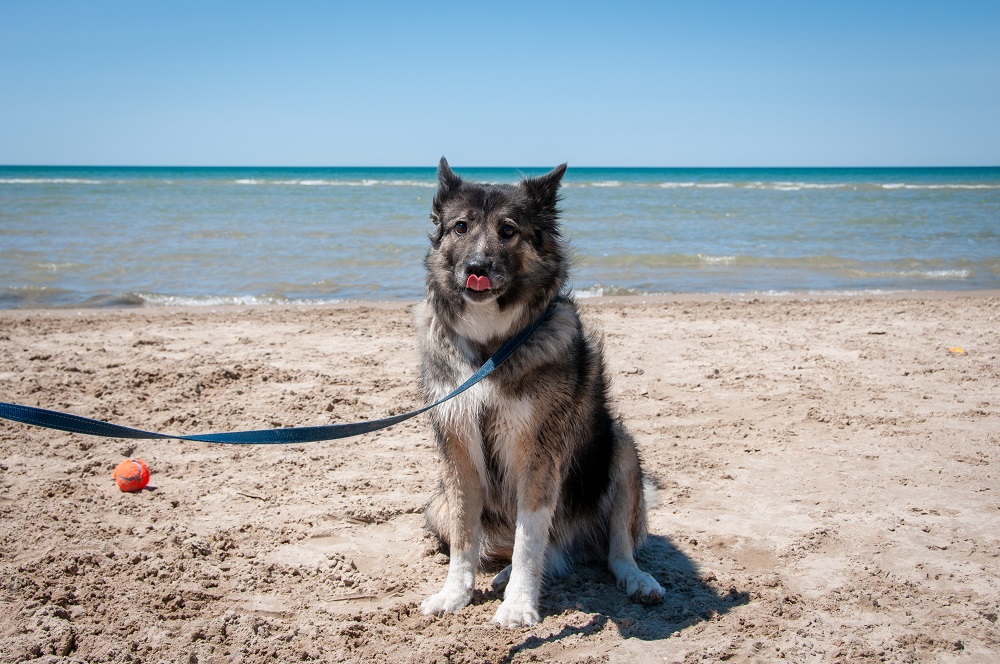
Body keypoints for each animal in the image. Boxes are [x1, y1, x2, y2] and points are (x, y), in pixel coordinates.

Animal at [414, 158, 664, 624]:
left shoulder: (539, 449)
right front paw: (455, 594)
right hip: (435, 505)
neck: (492, 346)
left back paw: (637, 579)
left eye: (508, 230)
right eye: (460, 227)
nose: (476, 267)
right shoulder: (458, 448)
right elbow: (464, 536)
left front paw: (518, 605)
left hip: (620, 450)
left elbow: (530, 538)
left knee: (616, 549)